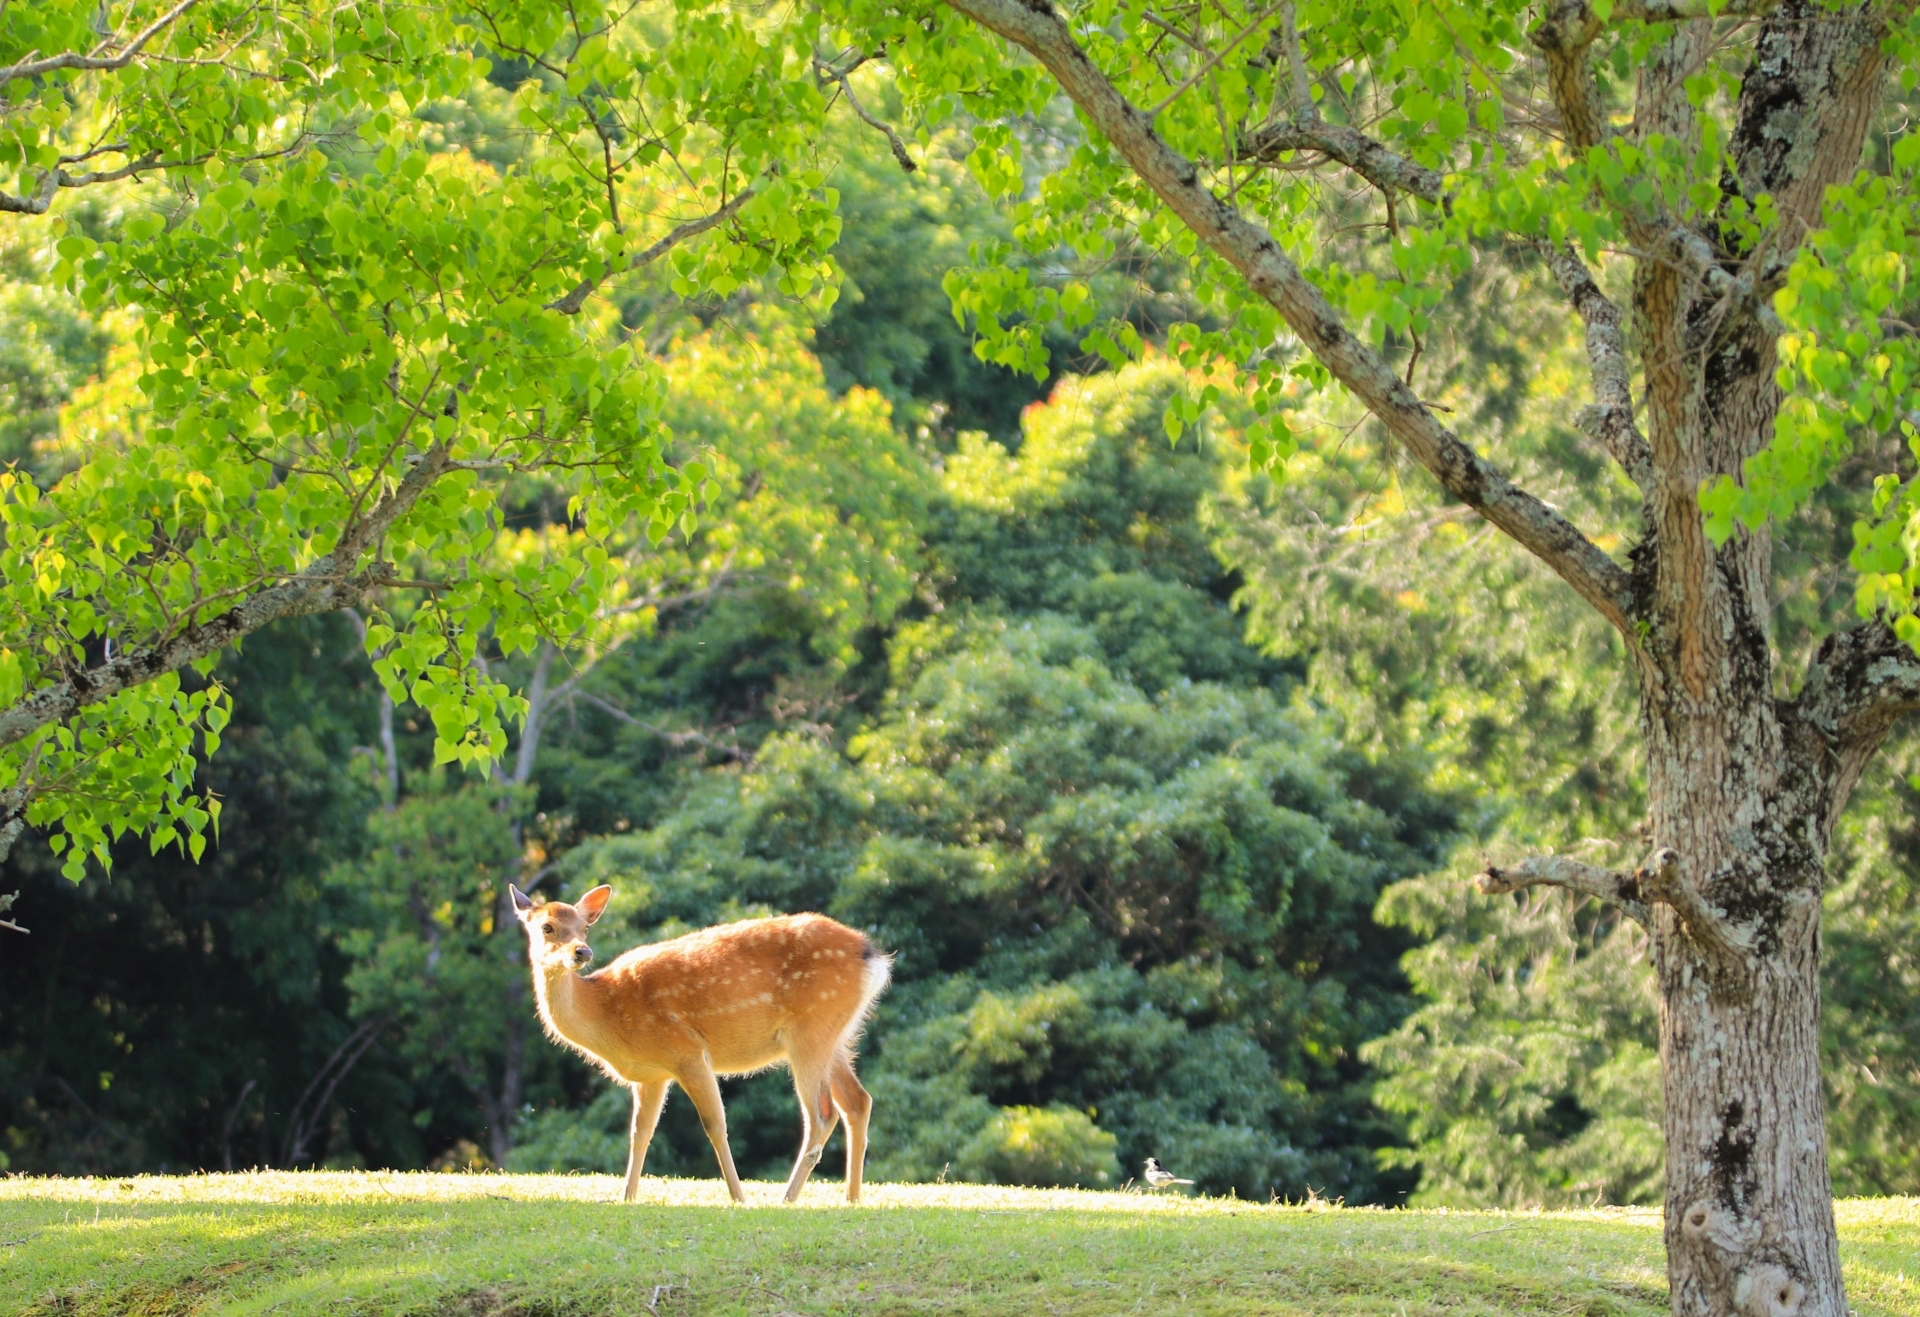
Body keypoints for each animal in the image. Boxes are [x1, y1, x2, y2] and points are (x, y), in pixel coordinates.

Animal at [514, 886, 894, 1205]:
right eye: (547, 927)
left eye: (584, 928)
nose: (582, 951)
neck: (606, 1013)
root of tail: (874, 958)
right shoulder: (651, 1075)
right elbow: (640, 1133)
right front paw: (627, 1197)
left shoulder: (687, 1050)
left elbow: (715, 1124)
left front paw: (739, 1198)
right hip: (836, 1035)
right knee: (858, 1101)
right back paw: (851, 1199)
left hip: (810, 1029)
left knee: (822, 1114)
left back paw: (786, 1199)